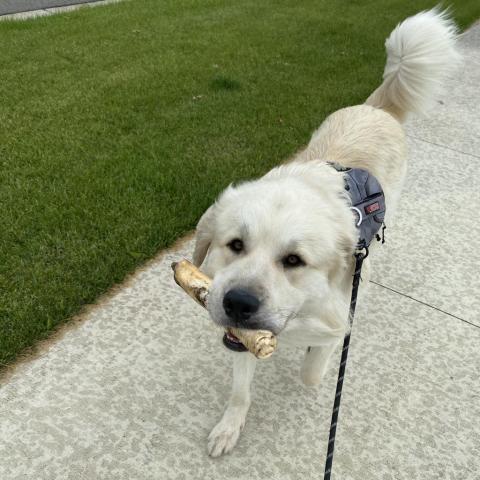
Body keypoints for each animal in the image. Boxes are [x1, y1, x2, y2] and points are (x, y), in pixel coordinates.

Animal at [192, 8, 462, 458]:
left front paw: (311, 355)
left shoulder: (338, 315)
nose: (238, 303)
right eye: (235, 245)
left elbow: (314, 369)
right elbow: (240, 391)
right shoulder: (241, 338)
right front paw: (229, 427)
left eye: (294, 260)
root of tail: (377, 108)